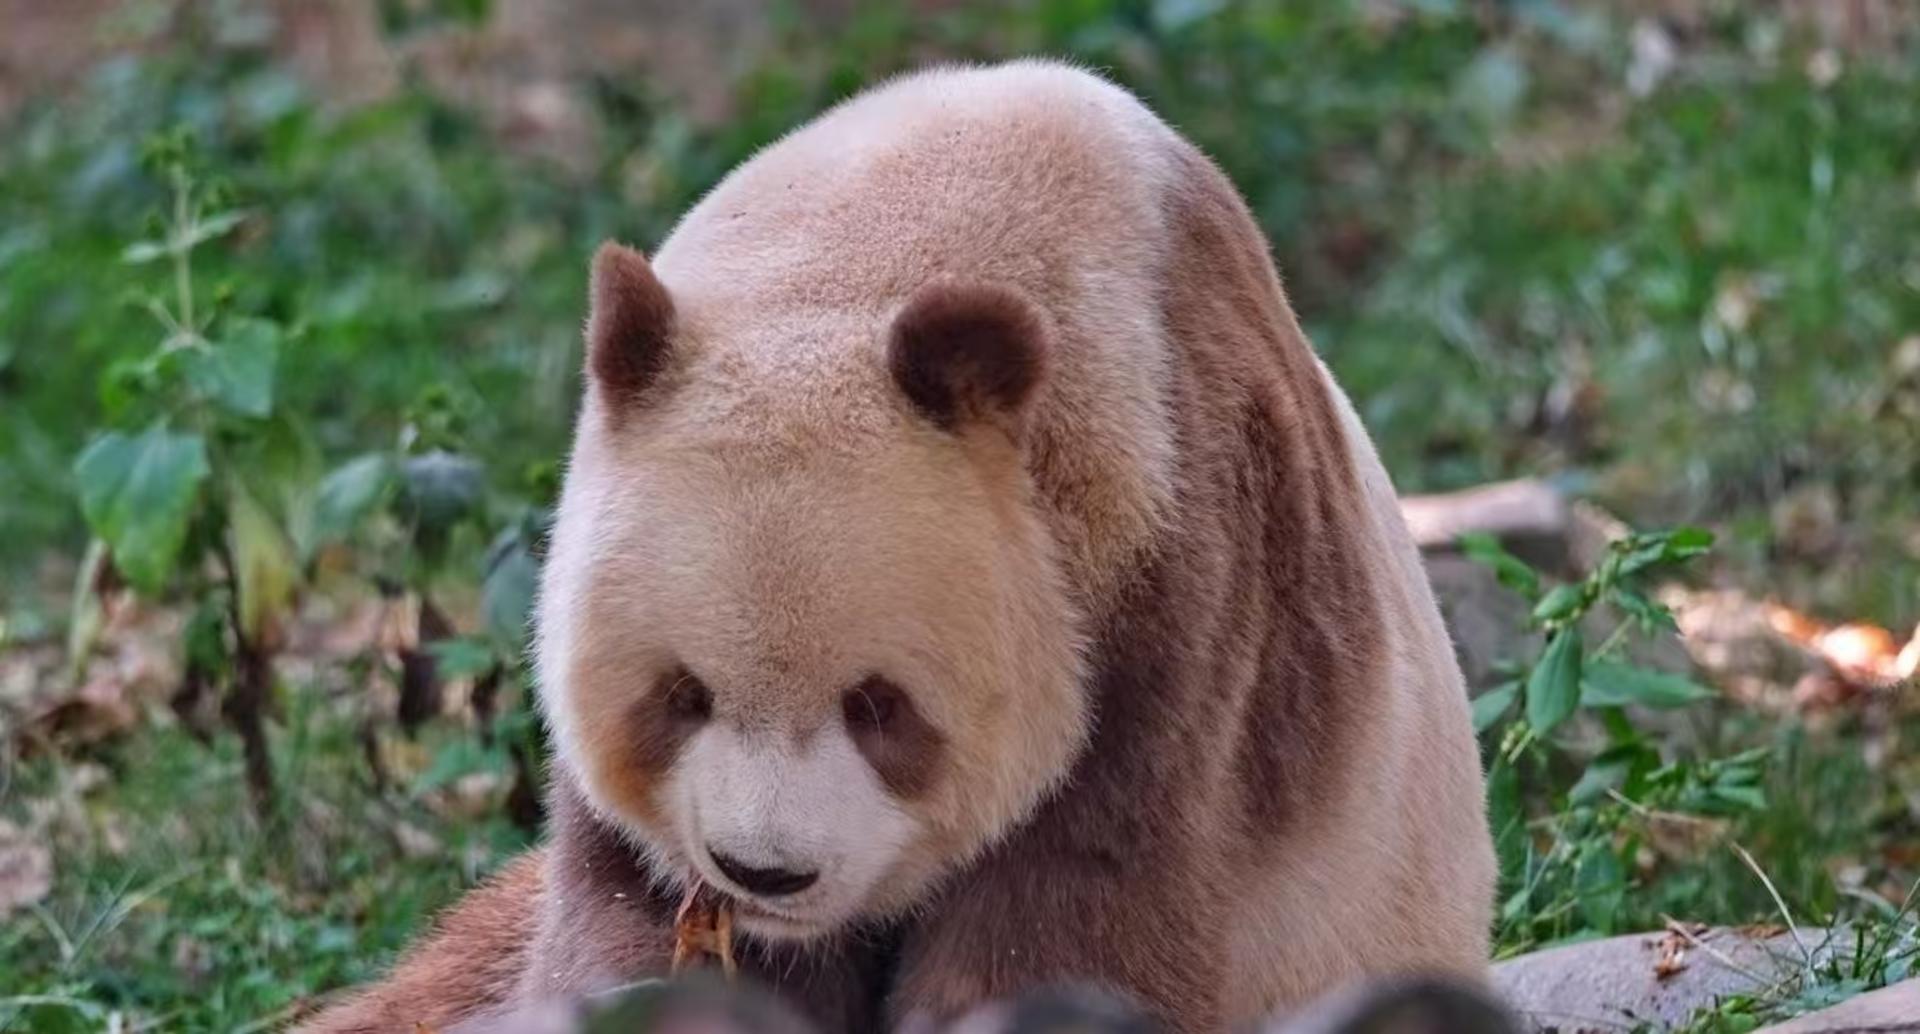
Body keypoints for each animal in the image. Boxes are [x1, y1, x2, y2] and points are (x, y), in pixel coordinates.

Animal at [295, 58, 1495, 1034]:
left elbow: (1081, 922)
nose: (765, 871)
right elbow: (625, 926)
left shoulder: (1174, 598)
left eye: (879, 705)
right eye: (680, 692)